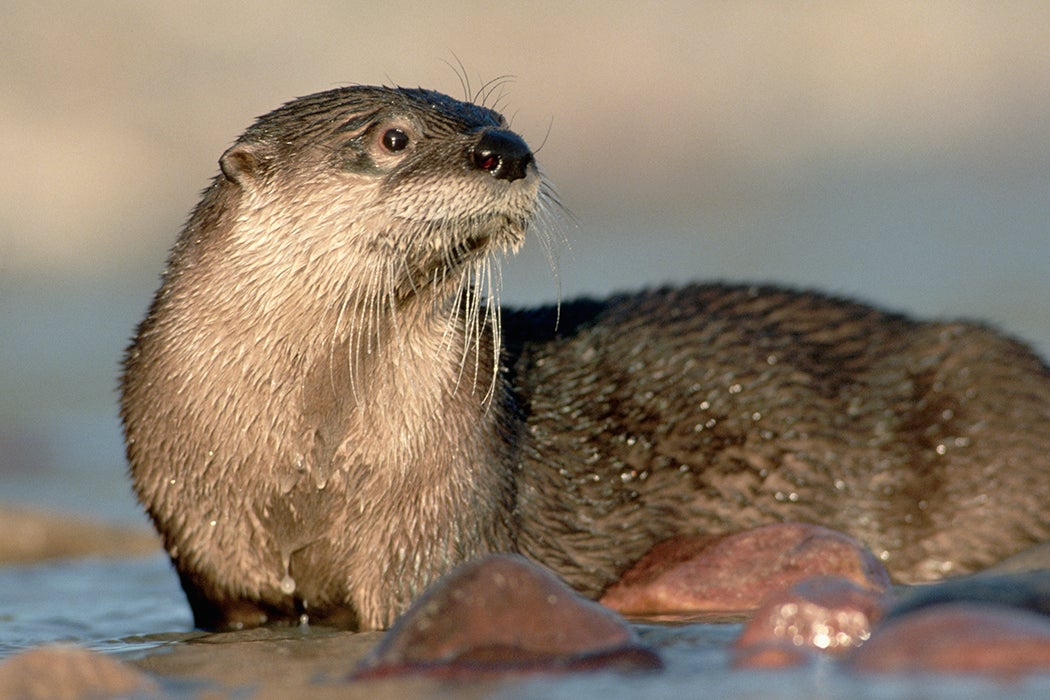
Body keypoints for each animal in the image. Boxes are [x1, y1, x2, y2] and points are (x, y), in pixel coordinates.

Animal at [120, 85, 1050, 633]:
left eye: (490, 116)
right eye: (391, 137)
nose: (506, 150)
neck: (310, 461)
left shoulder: (436, 520)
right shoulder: (203, 549)